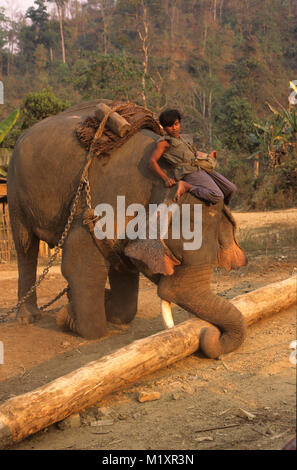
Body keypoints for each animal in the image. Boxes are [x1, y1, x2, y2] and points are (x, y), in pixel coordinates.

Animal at [7, 98, 247, 356]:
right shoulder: (104, 205)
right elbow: (81, 266)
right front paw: (68, 317)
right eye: (176, 258)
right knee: (26, 247)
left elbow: (124, 276)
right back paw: (28, 317)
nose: (212, 334)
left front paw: (104, 305)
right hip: (15, 191)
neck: (162, 182)